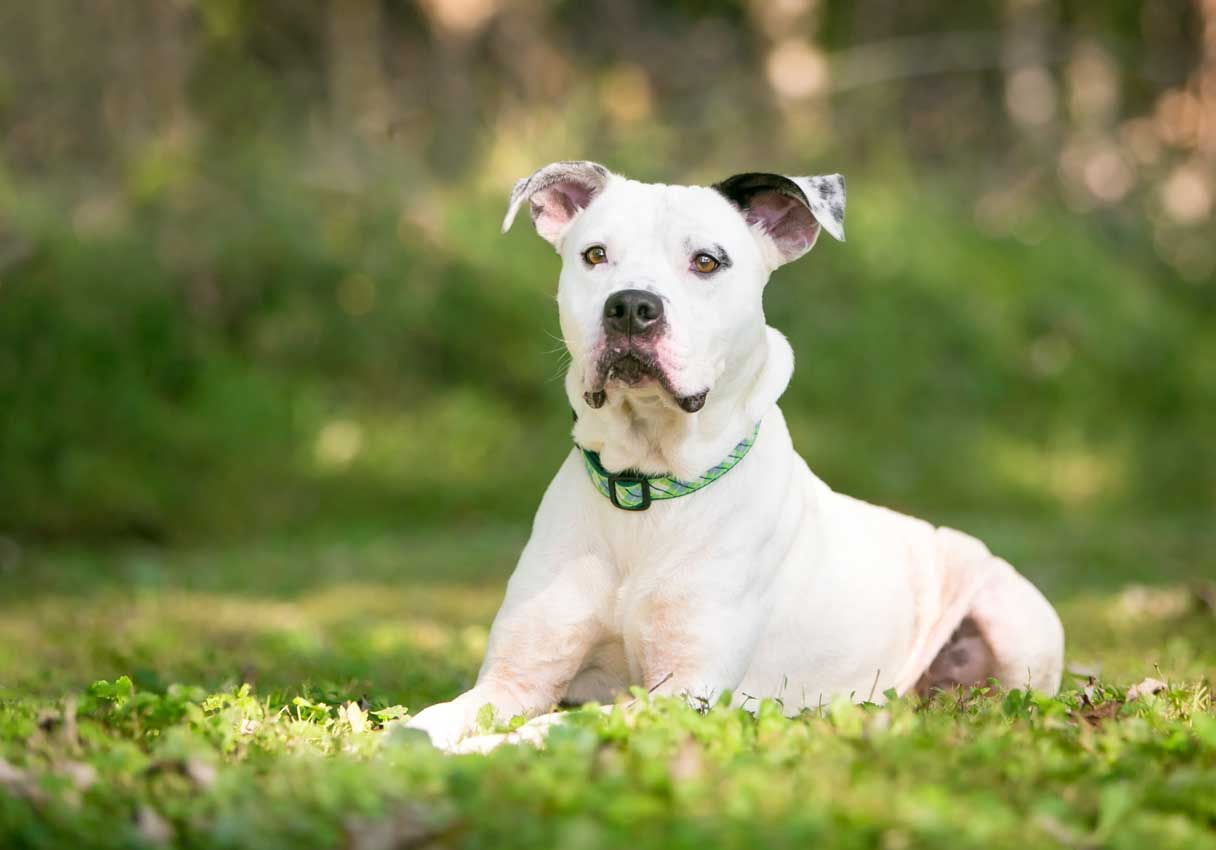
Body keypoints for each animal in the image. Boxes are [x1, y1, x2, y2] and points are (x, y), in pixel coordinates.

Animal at [403, 159, 1060, 749]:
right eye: (594, 255)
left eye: (706, 262)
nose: (631, 306)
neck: (648, 488)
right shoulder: (517, 676)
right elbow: (437, 718)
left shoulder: (682, 691)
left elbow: (556, 728)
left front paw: (493, 750)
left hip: (1013, 615)